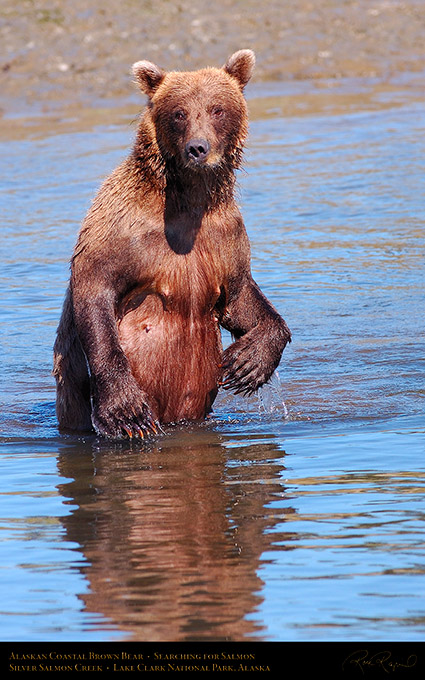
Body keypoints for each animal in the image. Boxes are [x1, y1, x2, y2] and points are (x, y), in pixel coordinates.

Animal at [53, 49, 290, 440]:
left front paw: (247, 363)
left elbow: (241, 296)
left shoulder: (225, 237)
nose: (198, 148)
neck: (187, 202)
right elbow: (95, 290)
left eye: (216, 109)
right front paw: (126, 412)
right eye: (179, 112)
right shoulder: (121, 230)